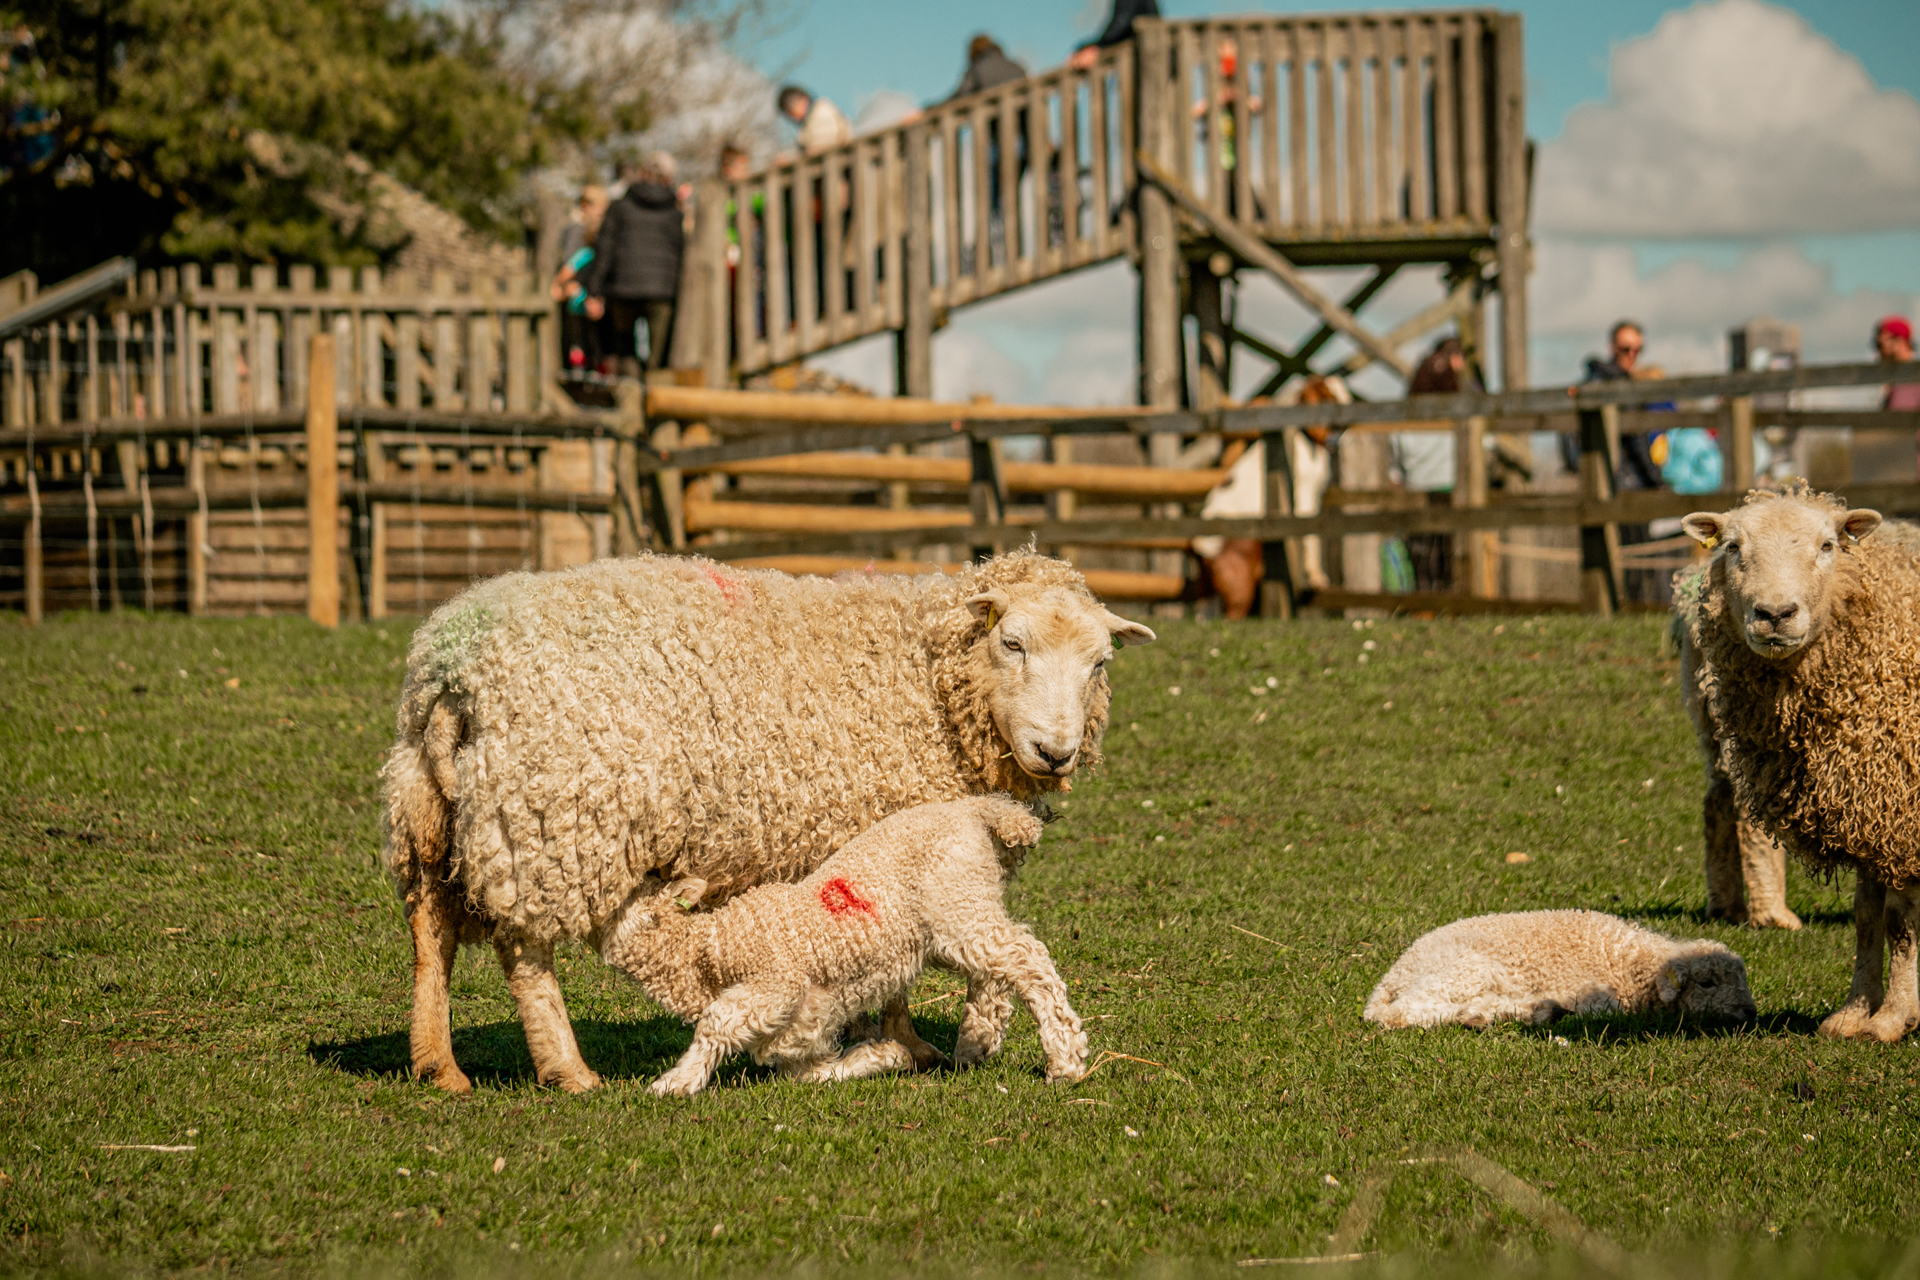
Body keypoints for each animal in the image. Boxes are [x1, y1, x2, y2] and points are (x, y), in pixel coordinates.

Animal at [597, 795, 1087, 1096]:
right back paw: (974, 1044)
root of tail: (977, 810)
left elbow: (717, 1021)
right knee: (997, 971)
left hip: (957, 903)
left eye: (622, 901)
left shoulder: (779, 983)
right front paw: (887, 1056)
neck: (713, 953)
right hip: (965, 909)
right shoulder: (802, 1034)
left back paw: (1065, 1060)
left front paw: (675, 1082)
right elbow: (812, 1074)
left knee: (1027, 959)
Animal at [1363, 910, 1756, 1030]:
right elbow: (1605, 1007)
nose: (1749, 1014)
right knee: (1404, 1012)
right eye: (1707, 983)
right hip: (1465, 969)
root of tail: (1391, 977)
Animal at [1678, 486, 1920, 1042]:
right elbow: (1868, 915)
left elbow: (1901, 921)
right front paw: (1853, 1013)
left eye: (1828, 544)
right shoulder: (1867, 797)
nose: (1775, 613)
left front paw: (1891, 1020)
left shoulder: (1899, 808)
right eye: (1732, 547)